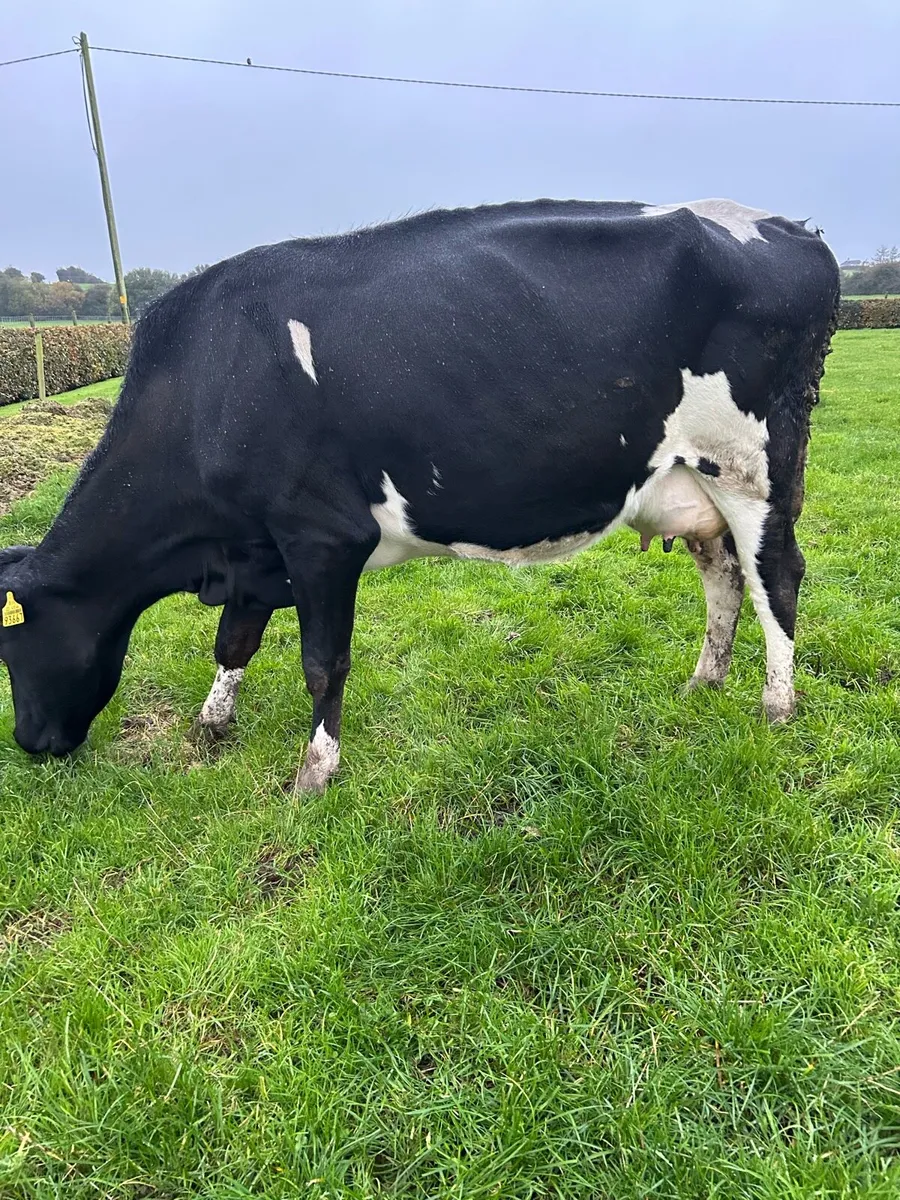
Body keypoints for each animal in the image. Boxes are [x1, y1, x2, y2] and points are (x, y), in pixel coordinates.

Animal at [0, 198, 839, 792]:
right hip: (693, 483)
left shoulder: (322, 535)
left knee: (777, 578)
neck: (210, 383)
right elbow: (233, 640)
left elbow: (322, 661)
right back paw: (704, 681)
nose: (29, 744)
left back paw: (776, 705)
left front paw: (315, 771)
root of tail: (786, 227)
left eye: (9, 645)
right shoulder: (254, 547)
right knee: (724, 576)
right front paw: (213, 722)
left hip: (754, 468)